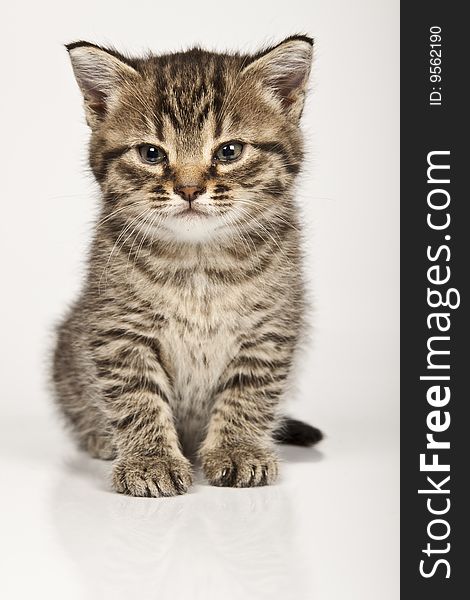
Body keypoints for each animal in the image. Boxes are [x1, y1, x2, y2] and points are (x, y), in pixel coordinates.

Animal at [53, 35, 322, 500]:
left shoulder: (271, 330)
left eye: (229, 151)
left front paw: (238, 450)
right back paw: (101, 437)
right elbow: (136, 397)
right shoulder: (118, 331)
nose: (190, 189)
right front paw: (150, 460)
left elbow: (248, 394)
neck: (199, 264)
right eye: (151, 153)